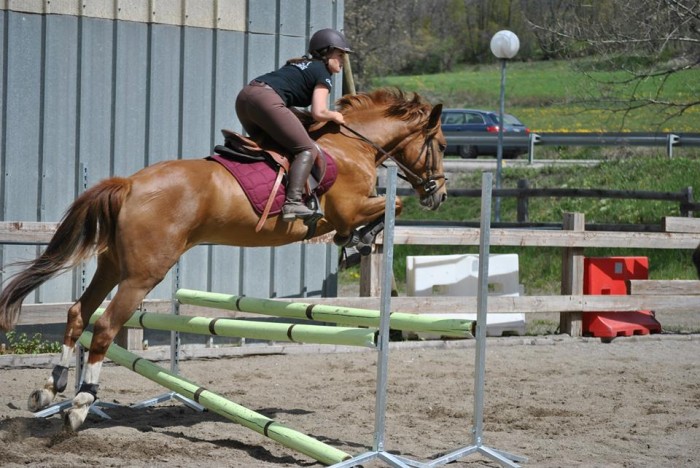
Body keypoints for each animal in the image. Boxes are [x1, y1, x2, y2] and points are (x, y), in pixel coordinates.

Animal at [0, 88, 448, 432]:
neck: (353, 146)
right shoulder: (349, 208)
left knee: (79, 312)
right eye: (442, 146)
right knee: (107, 325)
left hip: (112, 266)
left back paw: (50, 389)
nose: (439, 195)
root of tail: (128, 184)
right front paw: (360, 240)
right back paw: (79, 406)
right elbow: (391, 207)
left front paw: (358, 241)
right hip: (143, 274)